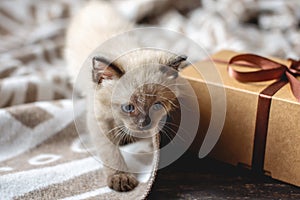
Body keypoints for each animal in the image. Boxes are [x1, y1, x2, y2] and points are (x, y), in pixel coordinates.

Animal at [66, 0, 188, 193]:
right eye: (129, 107)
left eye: (156, 106)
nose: (144, 123)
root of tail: (93, 4)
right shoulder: (98, 119)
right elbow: (109, 151)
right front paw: (120, 177)